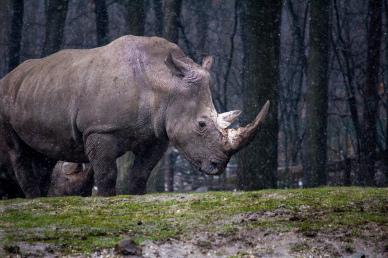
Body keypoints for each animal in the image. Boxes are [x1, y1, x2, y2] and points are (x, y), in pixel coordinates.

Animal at [0, 35, 270, 198]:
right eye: (201, 124)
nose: (218, 166)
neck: (164, 83)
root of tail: (9, 76)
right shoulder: (100, 129)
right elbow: (107, 172)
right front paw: (105, 198)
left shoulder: (156, 134)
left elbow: (141, 172)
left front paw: (135, 196)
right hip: (5, 98)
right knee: (19, 151)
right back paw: (33, 199)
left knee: (43, 154)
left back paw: (41, 197)